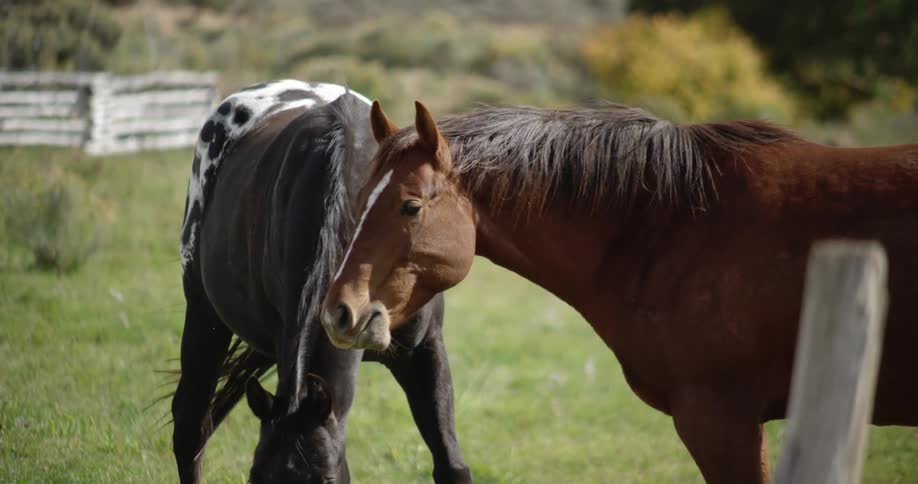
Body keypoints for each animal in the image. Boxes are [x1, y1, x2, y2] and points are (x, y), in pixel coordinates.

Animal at [172, 82, 471, 484]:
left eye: (327, 478)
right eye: (255, 477)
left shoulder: (423, 349)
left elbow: (451, 463)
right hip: (204, 312)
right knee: (191, 426)